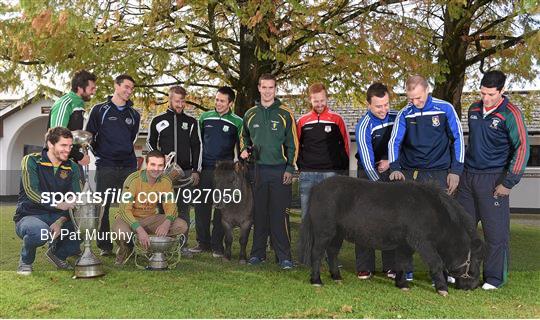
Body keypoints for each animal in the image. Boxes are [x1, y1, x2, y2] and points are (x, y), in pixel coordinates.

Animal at [300, 176, 486, 294]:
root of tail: (317, 187)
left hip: (337, 234)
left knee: (332, 253)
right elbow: (436, 262)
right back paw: (316, 281)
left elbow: (402, 263)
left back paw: (336, 277)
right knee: (317, 254)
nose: (474, 286)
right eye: (477, 260)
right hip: (324, 232)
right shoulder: (423, 243)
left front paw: (402, 284)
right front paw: (442, 289)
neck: (432, 211)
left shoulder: (406, 244)